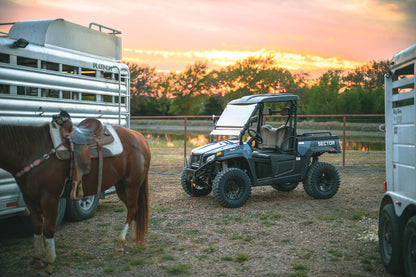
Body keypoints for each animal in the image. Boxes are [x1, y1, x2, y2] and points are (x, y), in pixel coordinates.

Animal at [0, 123, 150, 274]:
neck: (33, 152)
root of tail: (140, 137)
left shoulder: (50, 197)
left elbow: (48, 228)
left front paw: (48, 262)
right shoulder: (29, 198)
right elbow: (37, 227)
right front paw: (36, 258)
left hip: (132, 184)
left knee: (132, 209)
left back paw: (120, 244)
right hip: (121, 185)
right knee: (134, 210)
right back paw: (131, 241)